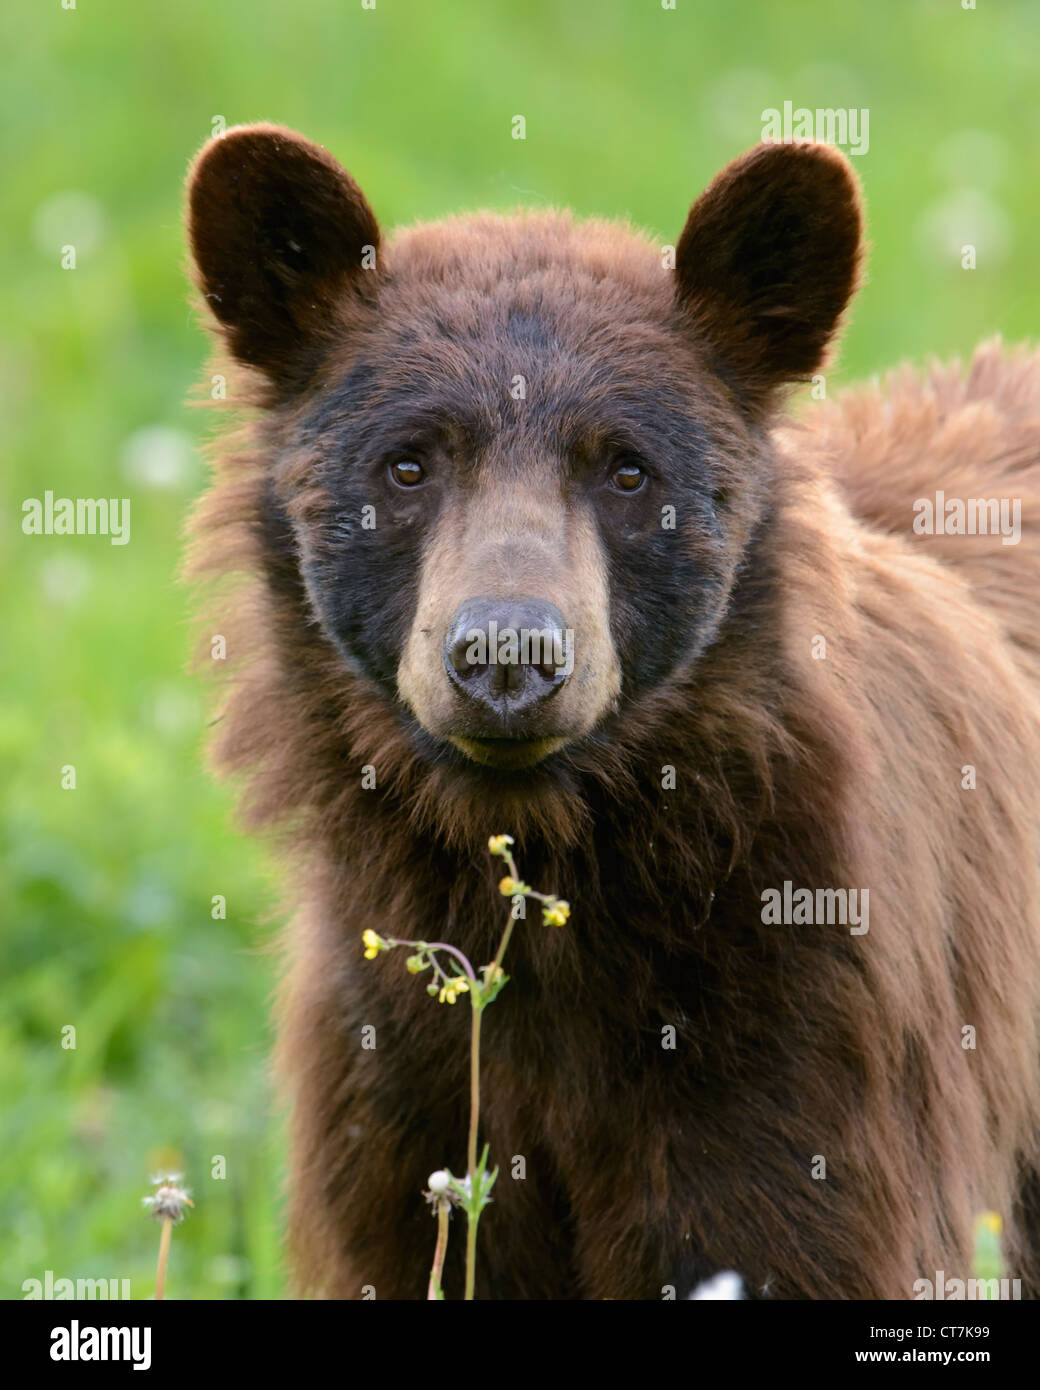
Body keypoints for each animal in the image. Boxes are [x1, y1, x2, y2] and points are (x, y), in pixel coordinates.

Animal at [182, 125, 1040, 1295]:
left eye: (628, 470)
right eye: (405, 462)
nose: (507, 656)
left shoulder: (811, 1022)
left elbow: (791, 1230)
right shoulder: (391, 1058)